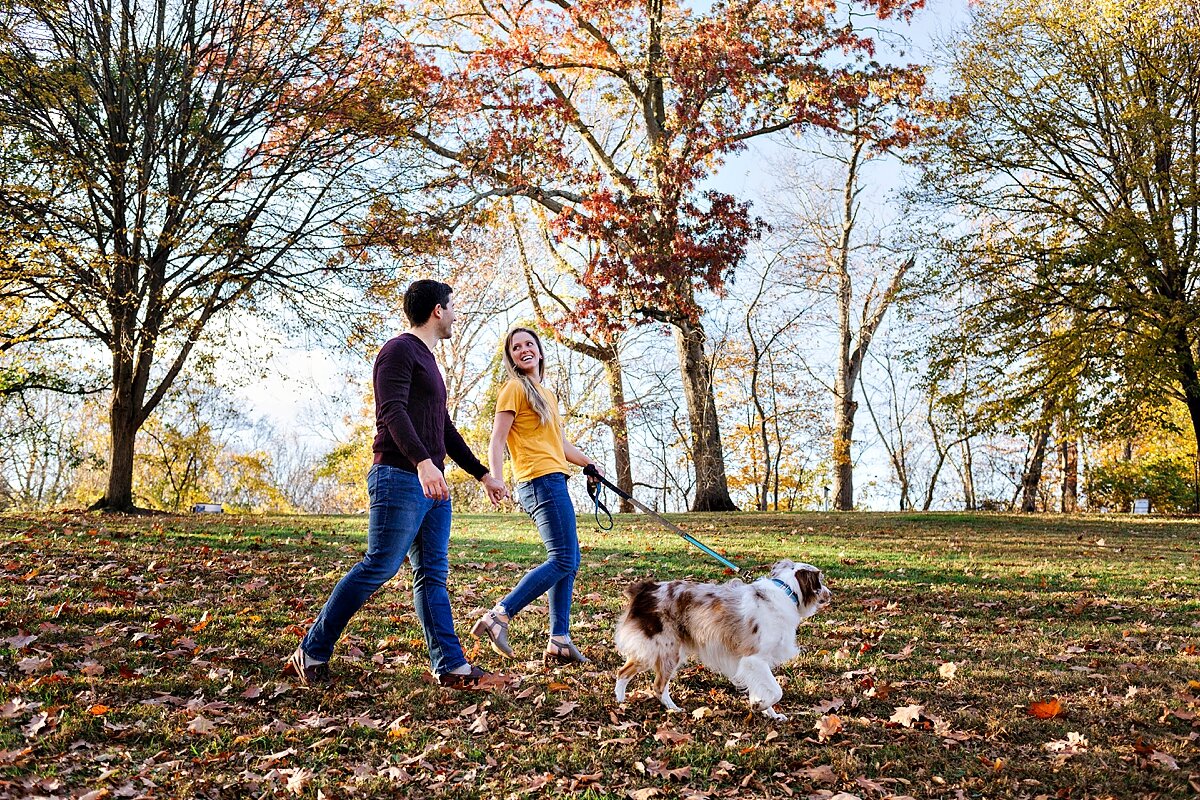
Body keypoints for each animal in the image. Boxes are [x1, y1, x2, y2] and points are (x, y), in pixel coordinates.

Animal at [614, 561, 830, 724]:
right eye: (820, 581)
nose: (831, 594)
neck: (787, 591)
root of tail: (645, 589)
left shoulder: (754, 663)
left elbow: (762, 689)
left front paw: (770, 712)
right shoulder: (754, 659)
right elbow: (777, 691)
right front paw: (759, 706)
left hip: (655, 649)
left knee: (623, 672)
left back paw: (620, 703)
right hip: (666, 649)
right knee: (658, 685)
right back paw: (673, 709)